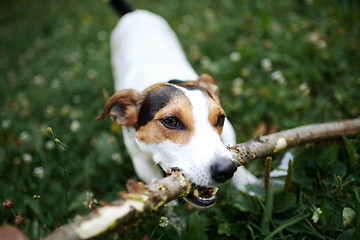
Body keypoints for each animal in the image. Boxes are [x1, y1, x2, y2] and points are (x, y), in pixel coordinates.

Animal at [95, 0, 258, 206]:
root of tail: (133, 13)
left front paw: (248, 183)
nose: (226, 170)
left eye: (220, 118)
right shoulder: (140, 161)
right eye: (171, 121)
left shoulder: (228, 129)